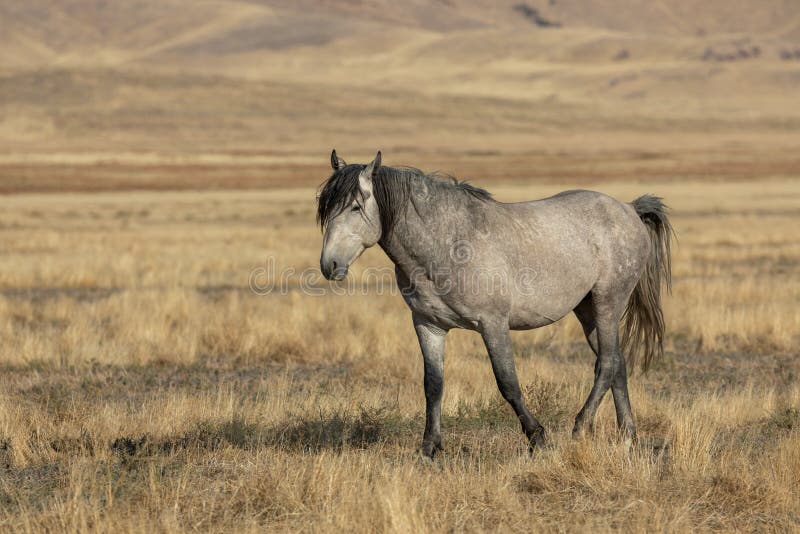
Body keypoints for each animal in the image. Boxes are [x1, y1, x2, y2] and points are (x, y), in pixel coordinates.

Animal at [317, 150, 673, 457]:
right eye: (325, 209)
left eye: (355, 207)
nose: (329, 265)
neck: (447, 243)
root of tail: (628, 208)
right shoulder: (428, 325)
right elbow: (433, 386)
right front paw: (429, 447)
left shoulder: (492, 324)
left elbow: (508, 383)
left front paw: (537, 438)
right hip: (587, 310)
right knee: (618, 363)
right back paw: (628, 437)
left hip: (607, 302)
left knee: (607, 364)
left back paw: (581, 427)